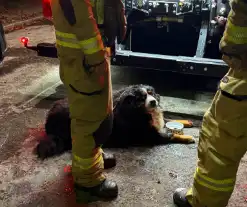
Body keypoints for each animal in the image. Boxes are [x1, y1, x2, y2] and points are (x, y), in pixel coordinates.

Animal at [36, 85, 195, 159]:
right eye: (140, 99)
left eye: (151, 93)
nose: (154, 102)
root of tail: (49, 115)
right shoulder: (152, 136)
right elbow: (172, 135)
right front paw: (188, 137)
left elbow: (169, 119)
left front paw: (186, 121)